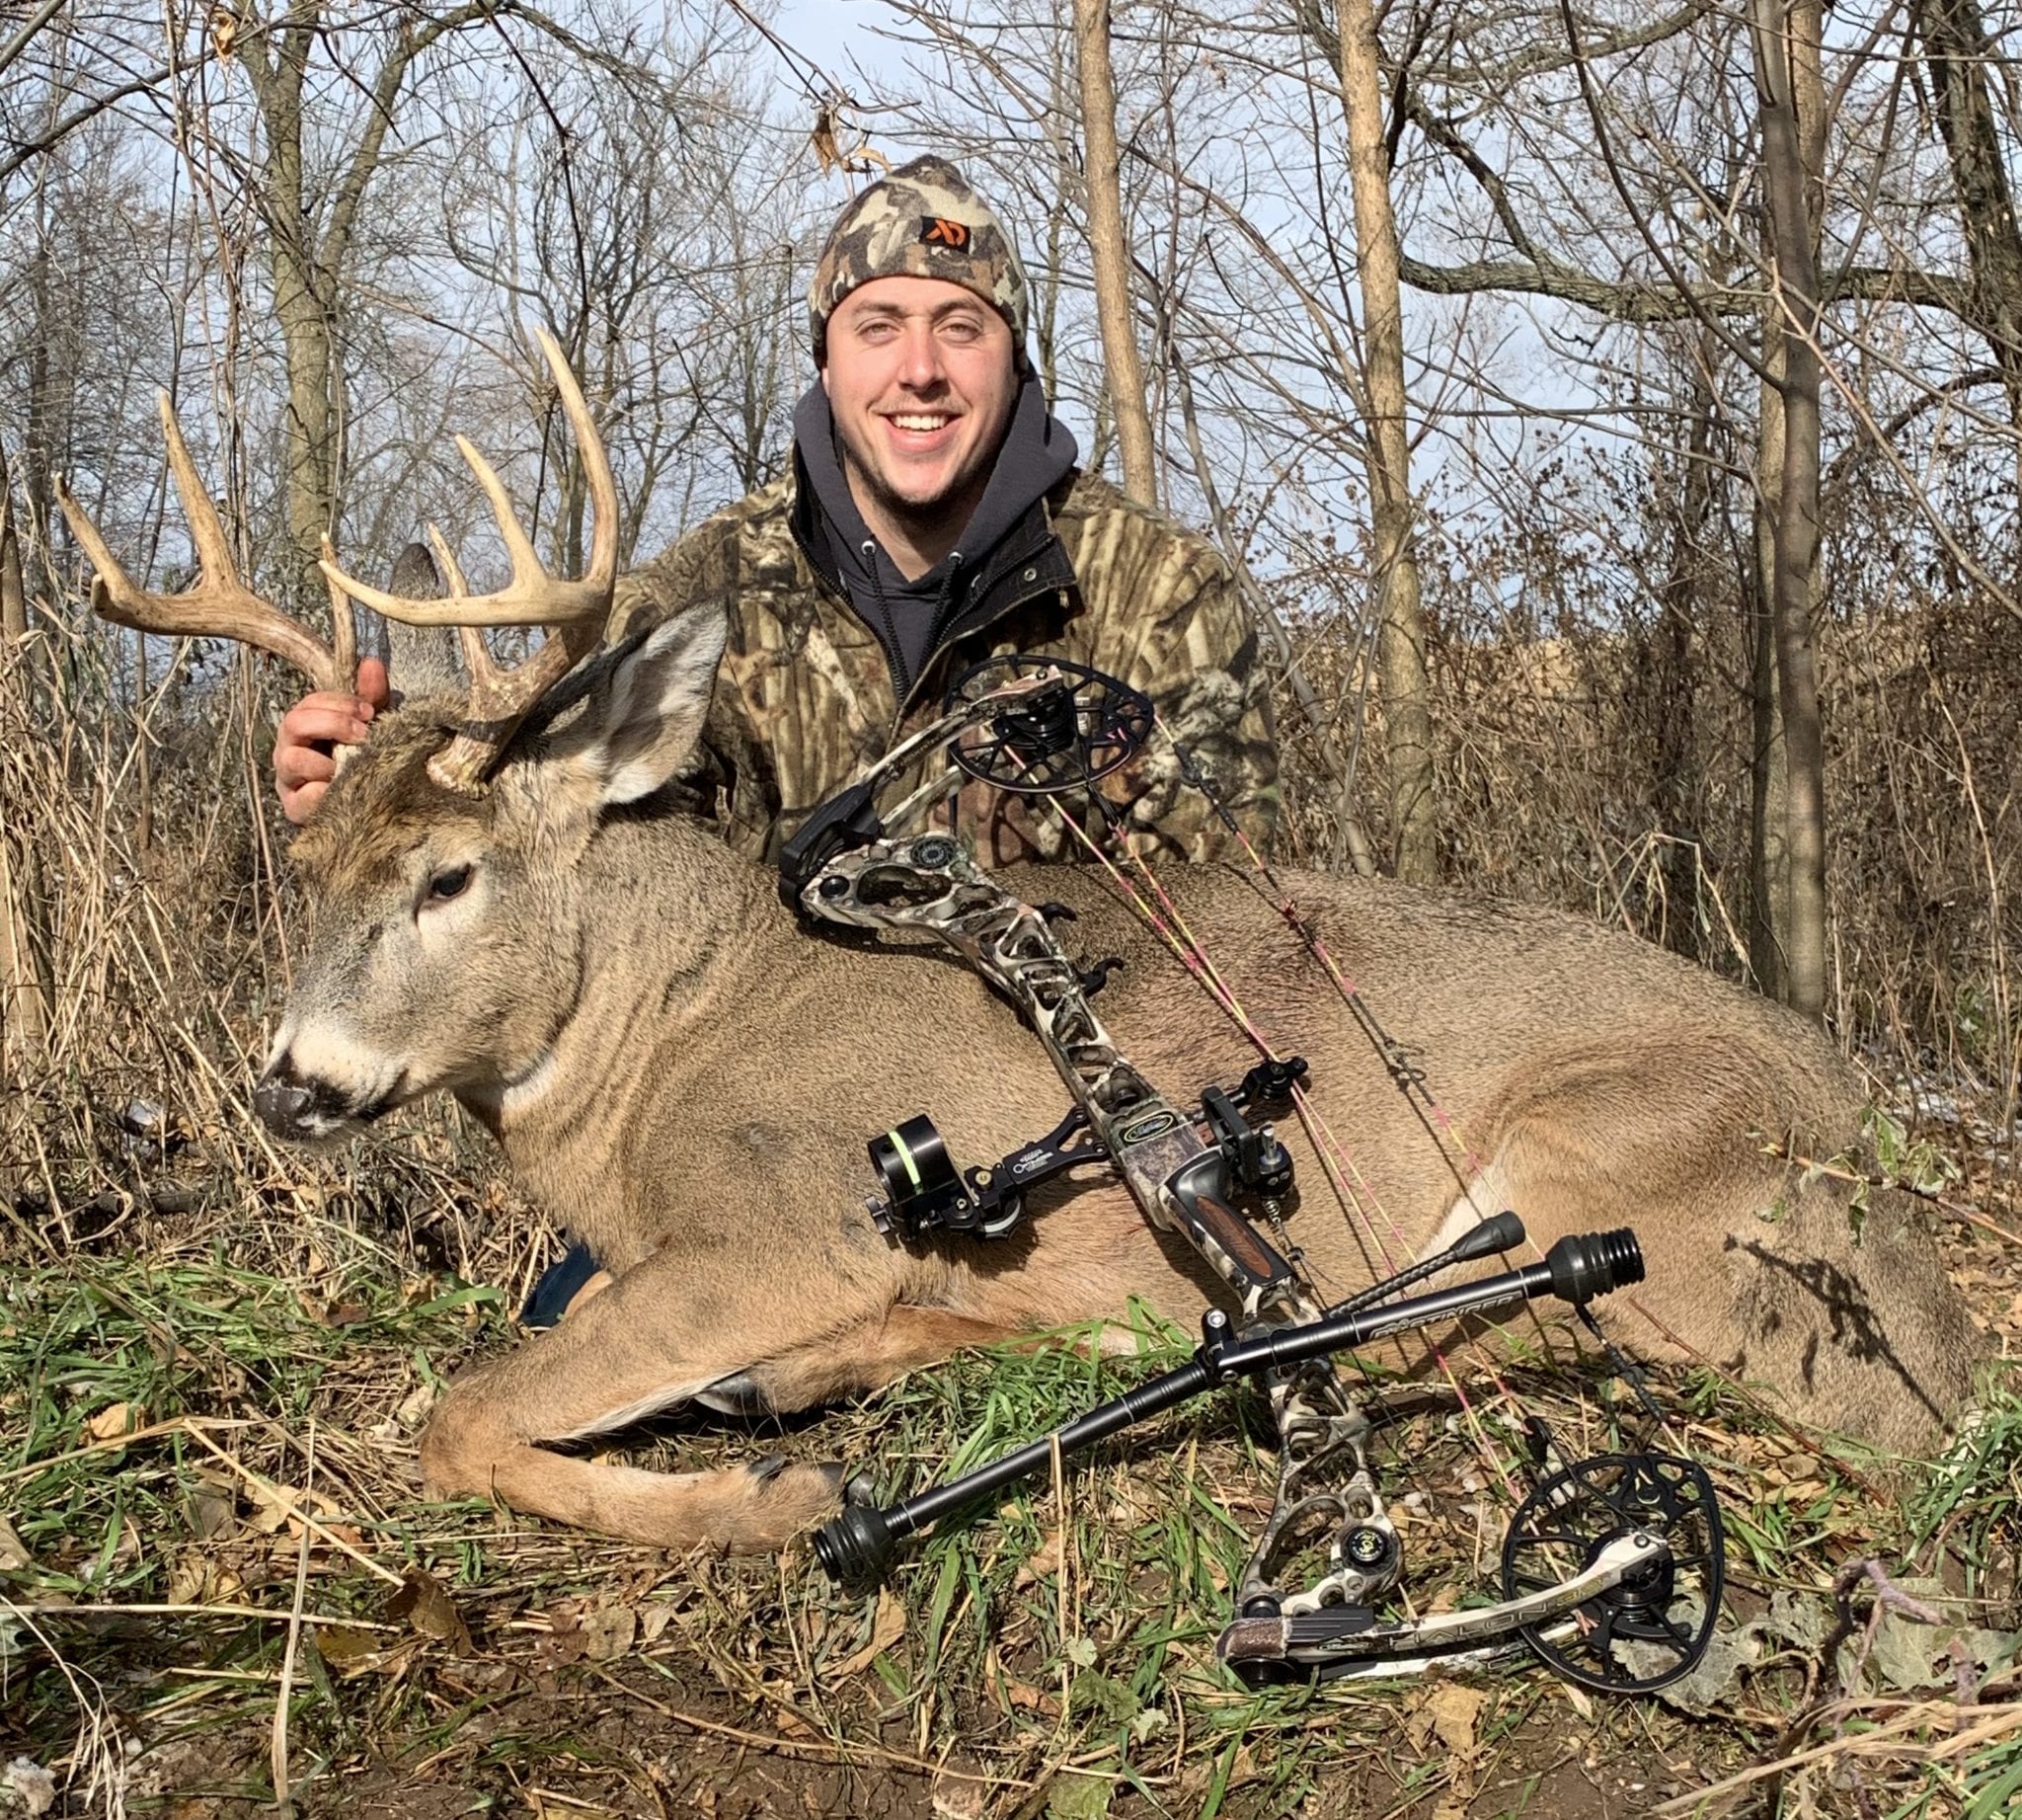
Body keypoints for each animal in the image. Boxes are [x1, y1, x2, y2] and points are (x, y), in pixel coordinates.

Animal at [58, 335, 1983, 1556]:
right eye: (306, 857)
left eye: (449, 875)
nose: (290, 1083)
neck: (654, 1046)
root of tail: (1874, 1146)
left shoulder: (772, 1229)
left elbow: (458, 1413)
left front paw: (760, 1503)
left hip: (1608, 1146)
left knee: (1483, 1331)